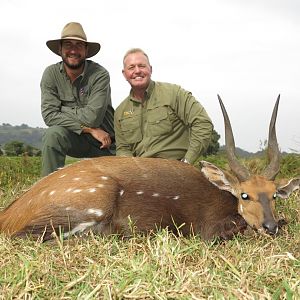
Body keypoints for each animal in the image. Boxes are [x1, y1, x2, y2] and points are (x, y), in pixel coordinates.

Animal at [0, 96, 298, 241]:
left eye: (274, 195)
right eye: (244, 195)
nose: (270, 226)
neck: (222, 197)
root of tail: (9, 214)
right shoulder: (206, 230)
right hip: (94, 202)